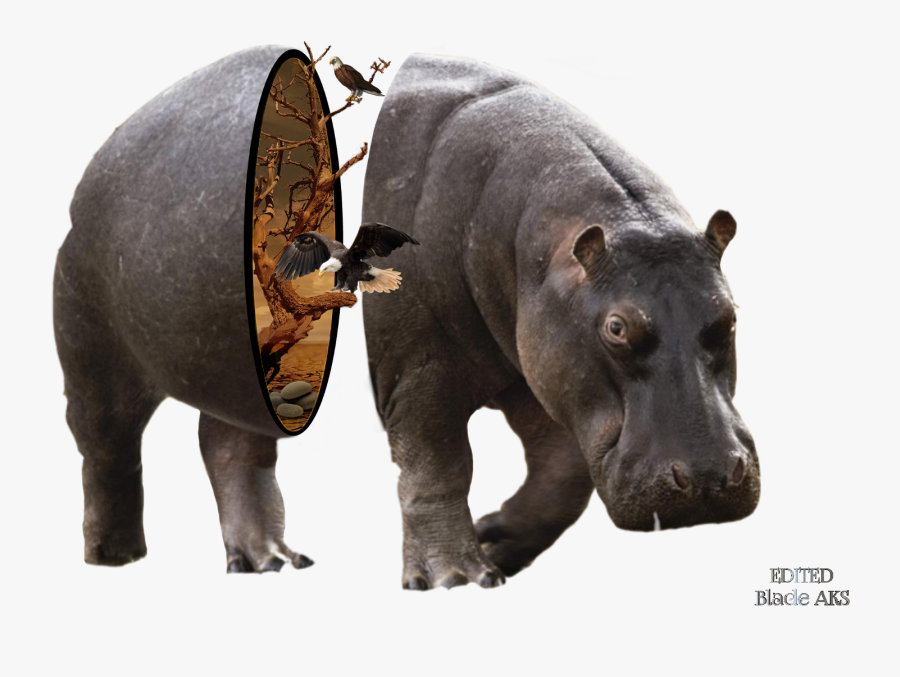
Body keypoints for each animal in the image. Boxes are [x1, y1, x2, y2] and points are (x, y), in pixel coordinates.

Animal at [53, 46, 335, 572]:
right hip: (91, 351)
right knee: (106, 445)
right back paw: (114, 557)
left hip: (224, 372)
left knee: (227, 447)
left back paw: (272, 561)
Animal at [362, 55, 759, 590]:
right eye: (616, 328)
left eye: (730, 313)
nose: (709, 479)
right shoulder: (416, 365)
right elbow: (436, 463)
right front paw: (459, 579)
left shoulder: (543, 367)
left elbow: (562, 474)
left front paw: (495, 541)